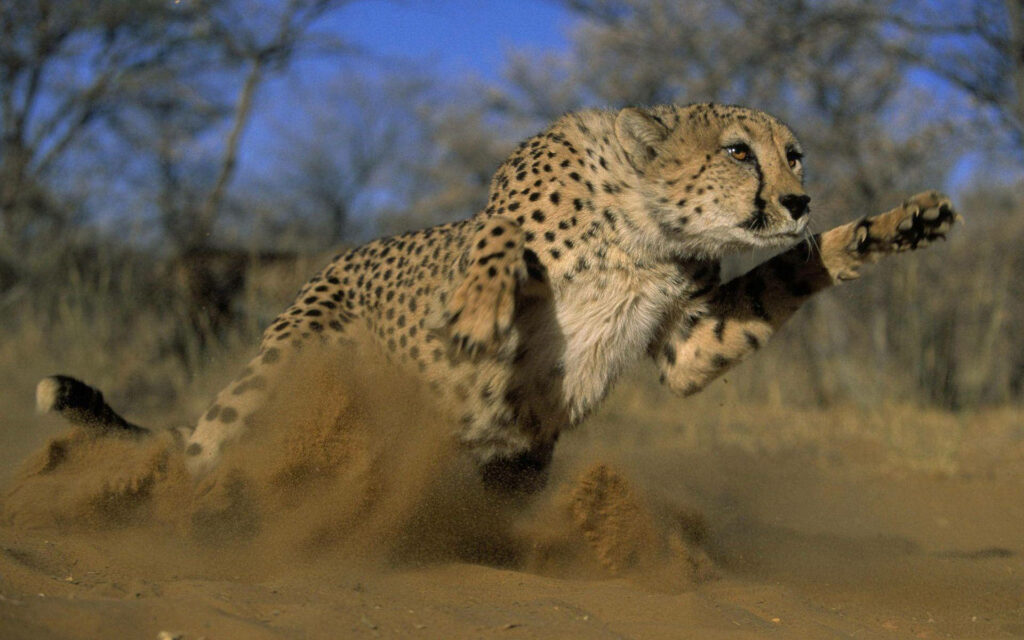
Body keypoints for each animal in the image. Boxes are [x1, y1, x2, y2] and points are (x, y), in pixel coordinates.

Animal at [37, 103, 960, 494]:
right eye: (738, 152)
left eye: (794, 155)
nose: (800, 199)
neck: (646, 229)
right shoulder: (500, 213)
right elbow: (497, 242)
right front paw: (482, 310)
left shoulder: (689, 342)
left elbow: (791, 272)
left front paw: (892, 226)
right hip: (286, 364)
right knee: (208, 451)